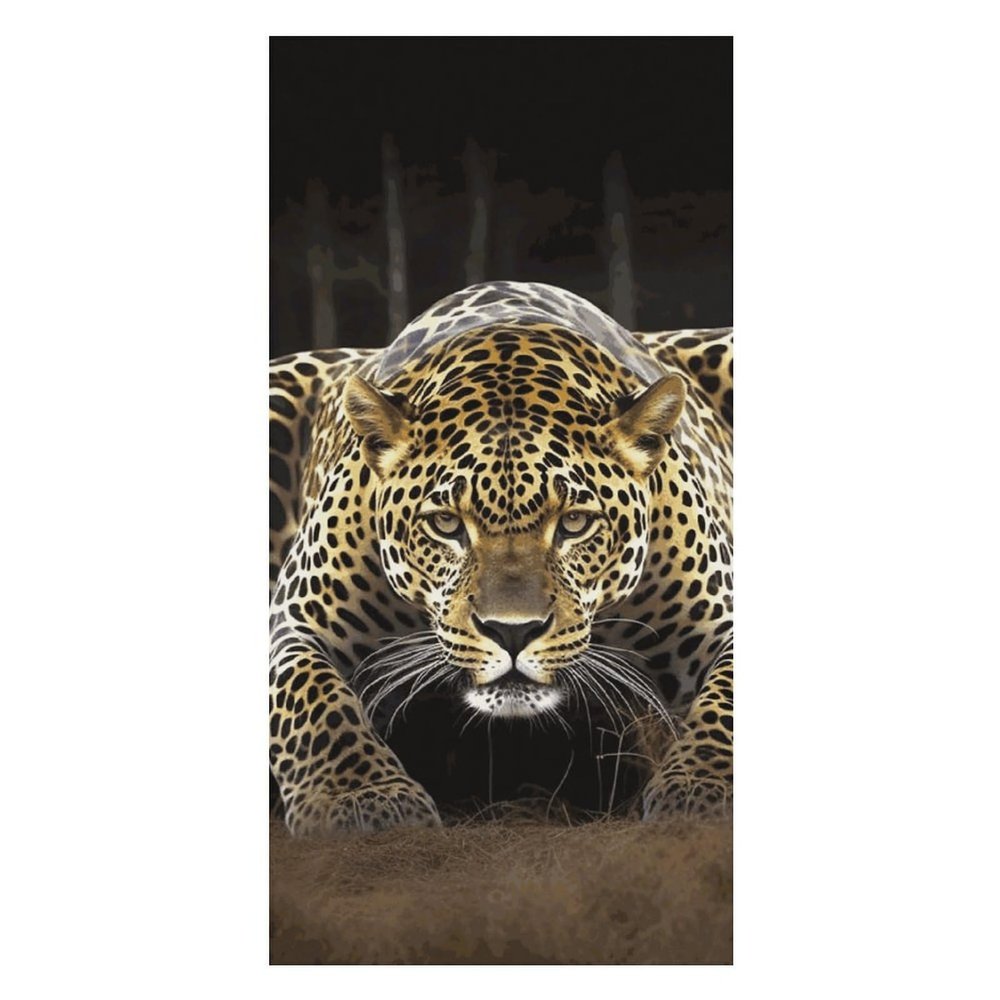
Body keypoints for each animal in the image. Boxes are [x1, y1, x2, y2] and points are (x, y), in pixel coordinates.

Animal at [269, 280, 732, 836]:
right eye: (447, 524)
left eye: (575, 523)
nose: (513, 632)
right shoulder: (299, 623)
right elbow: (314, 701)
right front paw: (360, 797)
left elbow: (726, 702)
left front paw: (704, 786)